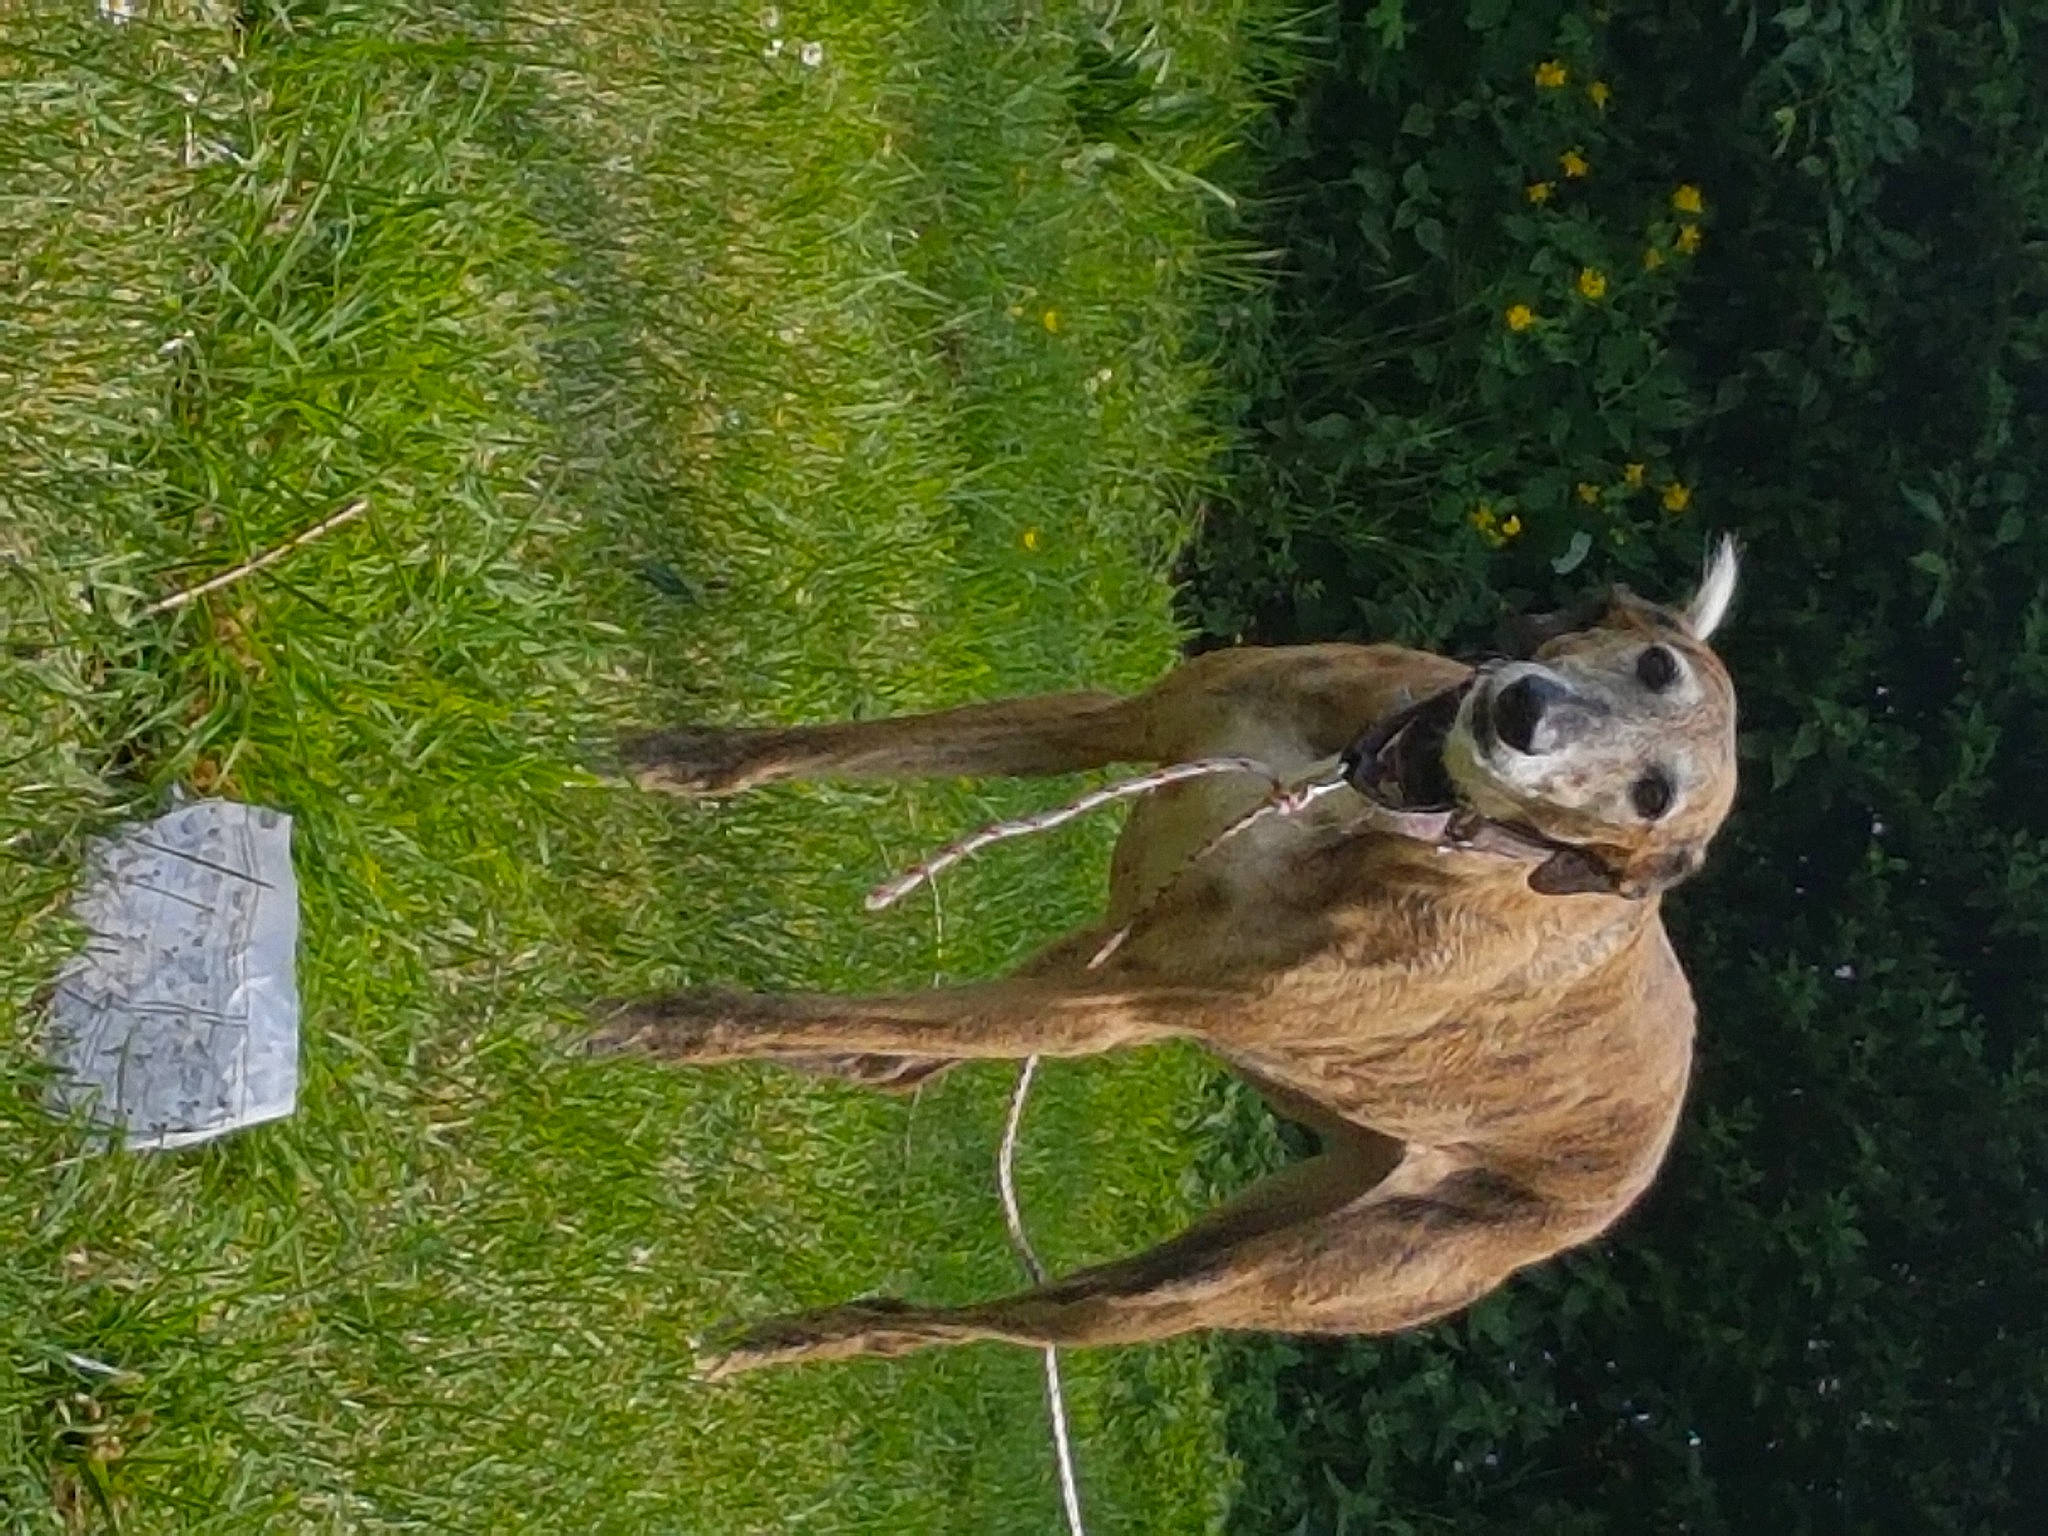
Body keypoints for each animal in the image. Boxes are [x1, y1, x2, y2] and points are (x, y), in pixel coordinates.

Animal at [588, 540, 1741, 1380]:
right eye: (1653, 664)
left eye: (1652, 795)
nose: (1526, 714)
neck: (1361, 801)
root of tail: (1630, 1169)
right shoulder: (1116, 723)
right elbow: (849, 748)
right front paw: (679, 758)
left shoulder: (1121, 1010)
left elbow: (840, 1008)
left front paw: (682, 1022)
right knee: (968, 1024)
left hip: (1238, 1279)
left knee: (1032, 1310)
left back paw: (812, 1334)